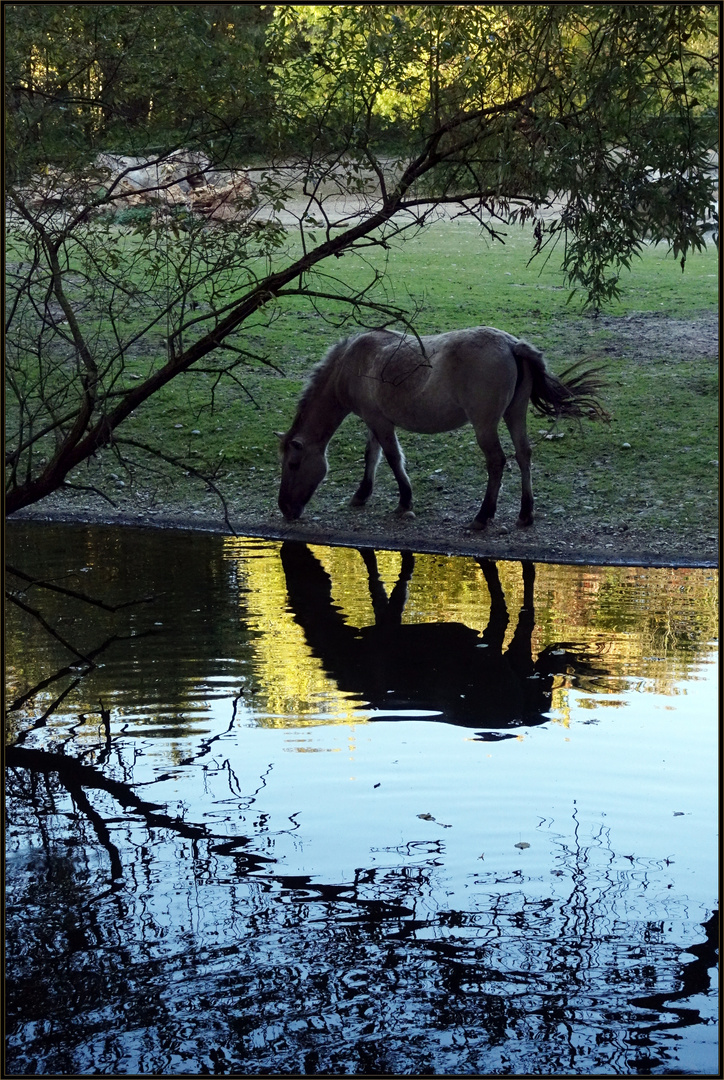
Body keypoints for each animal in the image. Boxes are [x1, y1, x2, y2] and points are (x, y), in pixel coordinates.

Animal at [276, 328, 605, 531]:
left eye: (293, 464)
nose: (285, 509)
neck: (351, 363)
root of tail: (511, 345)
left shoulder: (379, 421)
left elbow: (393, 459)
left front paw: (404, 501)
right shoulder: (375, 420)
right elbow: (373, 456)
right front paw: (361, 495)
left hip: (485, 423)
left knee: (497, 461)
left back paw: (482, 516)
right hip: (515, 413)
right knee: (524, 455)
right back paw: (525, 514)